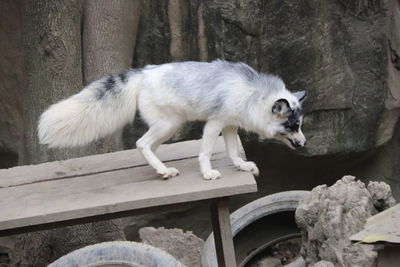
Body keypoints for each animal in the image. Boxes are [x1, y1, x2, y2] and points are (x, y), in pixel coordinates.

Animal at [38, 59, 306, 180]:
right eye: (293, 126)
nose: (304, 143)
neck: (253, 95)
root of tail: (143, 72)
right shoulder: (215, 123)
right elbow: (206, 152)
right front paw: (207, 173)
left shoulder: (230, 125)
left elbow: (232, 152)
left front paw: (242, 166)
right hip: (168, 125)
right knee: (141, 143)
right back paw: (162, 170)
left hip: (169, 127)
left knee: (146, 147)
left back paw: (161, 169)